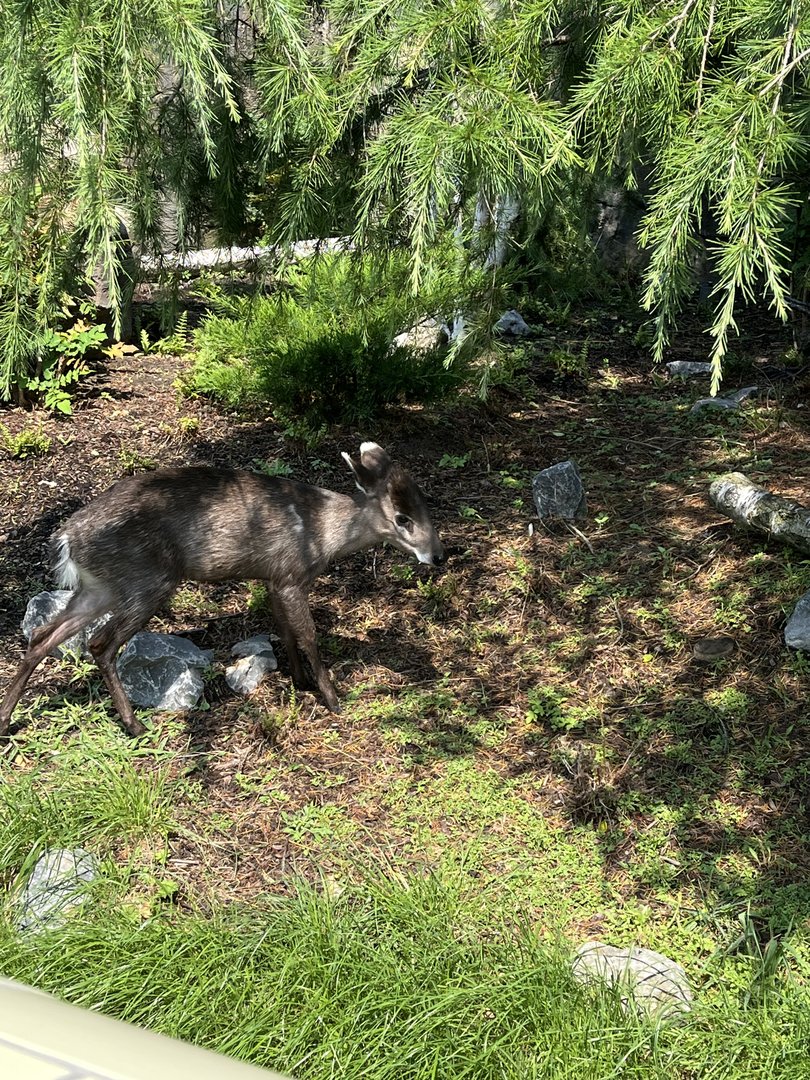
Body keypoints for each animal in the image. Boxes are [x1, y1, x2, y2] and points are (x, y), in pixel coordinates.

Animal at [0, 442, 444, 737]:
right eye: (402, 518)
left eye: (426, 507)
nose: (438, 555)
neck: (323, 534)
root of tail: (67, 539)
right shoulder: (290, 575)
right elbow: (308, 636)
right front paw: (333, 700)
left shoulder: (272, 579)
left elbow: (284, 631)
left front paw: (300, 682)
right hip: (147, 581)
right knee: (100, 643)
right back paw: (134, 724)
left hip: (101, 587)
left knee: (42, 636)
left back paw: (6, 720)